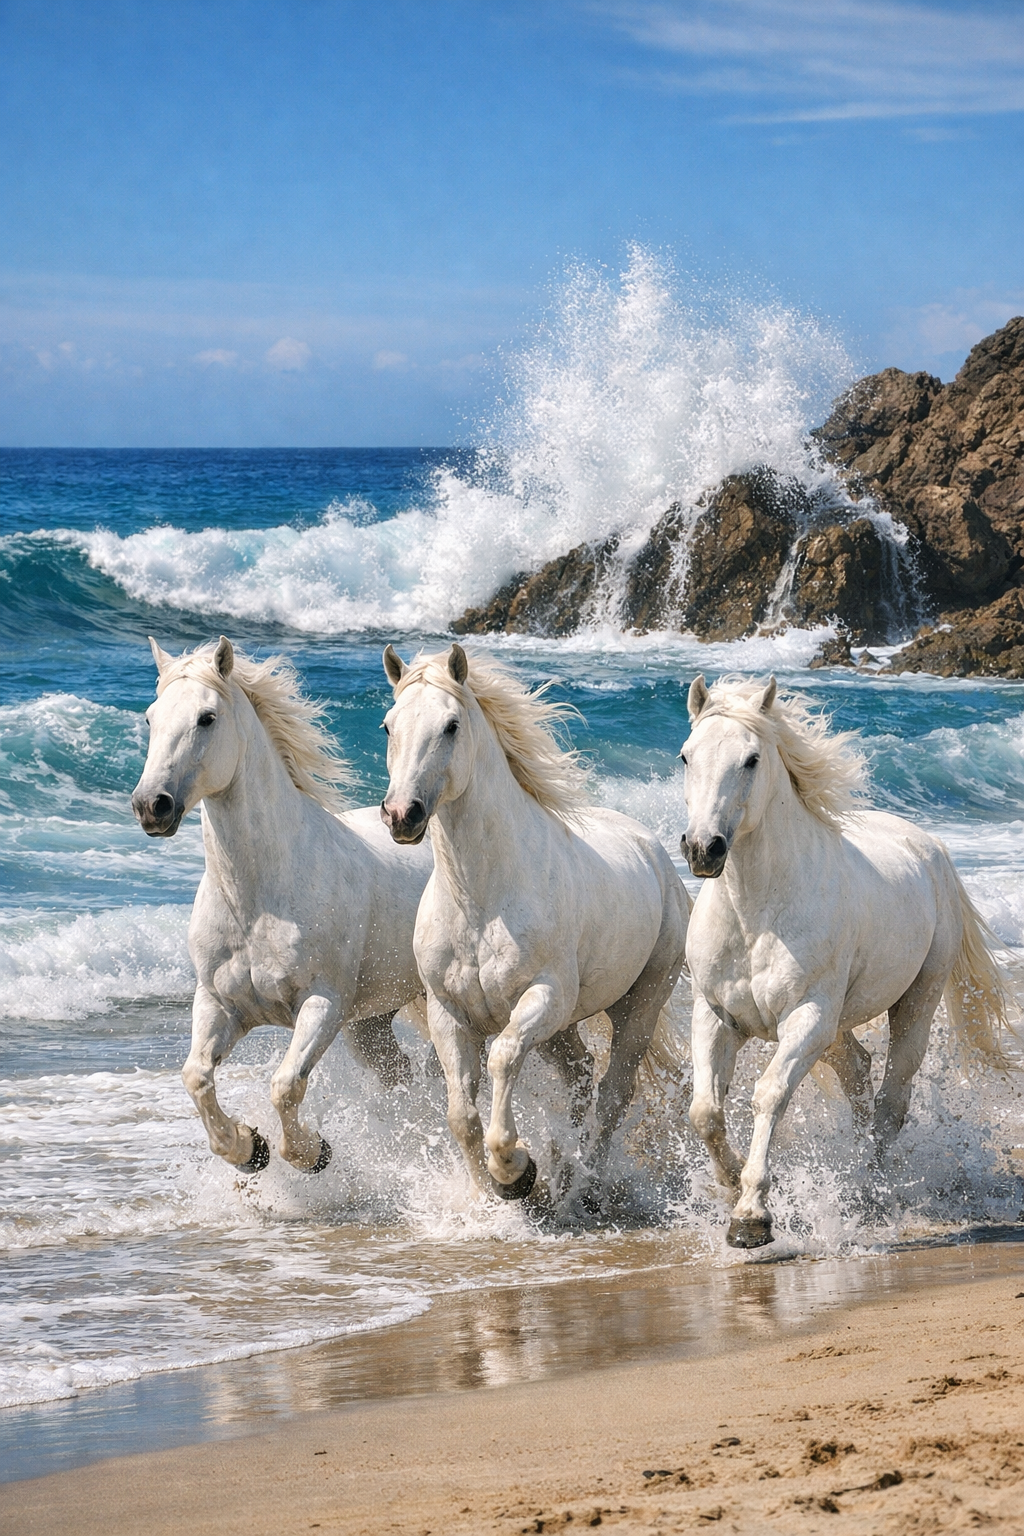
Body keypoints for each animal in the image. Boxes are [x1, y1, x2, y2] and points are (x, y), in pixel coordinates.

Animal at [132, 636, 433, 1174]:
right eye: (150, 717)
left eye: (207, 717)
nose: (152, 806)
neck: (257, 898)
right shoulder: (218, 1003)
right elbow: (196, 1077)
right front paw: (248, 1149)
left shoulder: (322, 1004)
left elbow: (285, 1084)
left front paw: (312, 1153)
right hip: (371, 1025)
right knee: (402, 1077)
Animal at [379, 641, 690, 1202]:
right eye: (389, 725)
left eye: (451, 725)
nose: (401, 815)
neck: (482, 900)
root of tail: (653, 850)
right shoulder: (448, 1011)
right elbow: (460, 1113)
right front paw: (495, 1193)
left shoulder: (543, 995)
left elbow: (502, 1058)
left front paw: (515, 1169)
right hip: (562, 1029)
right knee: (581, 1077)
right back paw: (564, 1174)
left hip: (639, 1002)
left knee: (614, 1090)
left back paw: (587, 1186)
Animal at [678, 672, 1012, 1249]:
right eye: (685, 756)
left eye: (751, 759)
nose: (703, 849)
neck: (756, 913)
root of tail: (932, 848)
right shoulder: (716, 1016)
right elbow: (706, 1111)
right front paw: (730, 1186)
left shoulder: (807, 1018)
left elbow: (768, 1095)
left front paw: (751, 1217)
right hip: (836, 1027)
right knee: (858, 1071)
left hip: (912, 1002)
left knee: (891, 1101)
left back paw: (867, 1190)